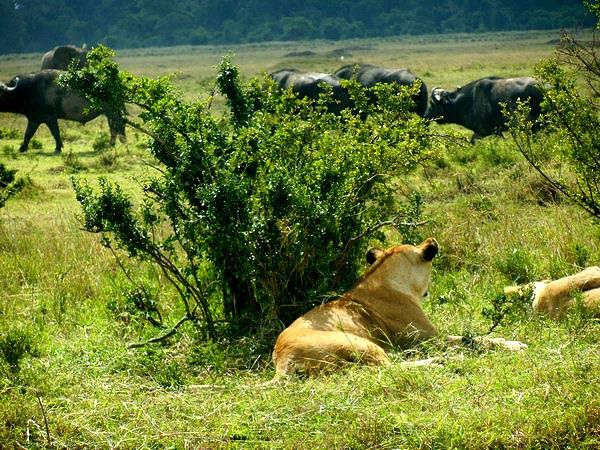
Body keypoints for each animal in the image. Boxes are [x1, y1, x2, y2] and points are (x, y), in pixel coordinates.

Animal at [272, 237, 526, 377]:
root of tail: (282, 361)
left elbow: (473, 337)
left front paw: (504, 339)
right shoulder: (427, 339)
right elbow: (472, 340)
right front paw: (515, 345)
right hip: (361, 344)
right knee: (389, 368)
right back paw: (443, 361)